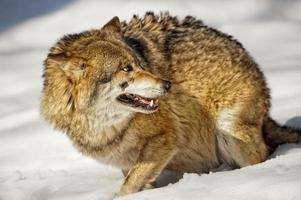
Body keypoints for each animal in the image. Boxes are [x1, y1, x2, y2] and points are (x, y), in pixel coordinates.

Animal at [40, 12, 300, 195]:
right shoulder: (128, 160)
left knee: (261, 156)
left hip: (230, 132)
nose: (167, 84)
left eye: (139, 63)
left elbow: (127, 188)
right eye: (126, 69)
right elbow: (135, 181)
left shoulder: (166, 138)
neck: (102, 125)